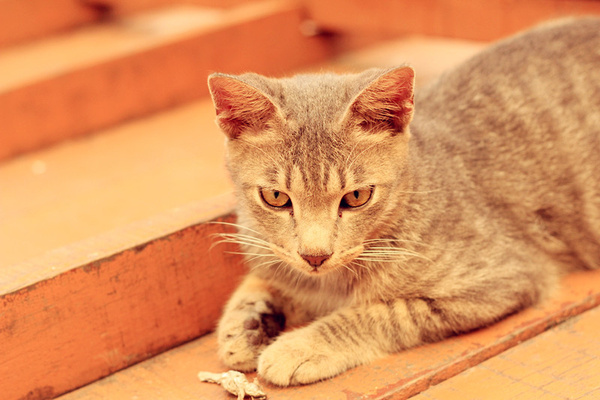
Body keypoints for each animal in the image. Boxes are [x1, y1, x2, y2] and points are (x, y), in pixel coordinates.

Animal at [207, 17, 600, 386]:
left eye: (356, 197)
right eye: (276, 197)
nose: (315, 256)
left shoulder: (504, 277)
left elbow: (385, 313)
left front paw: (300, 346)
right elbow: (261, 278)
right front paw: (245, 323)